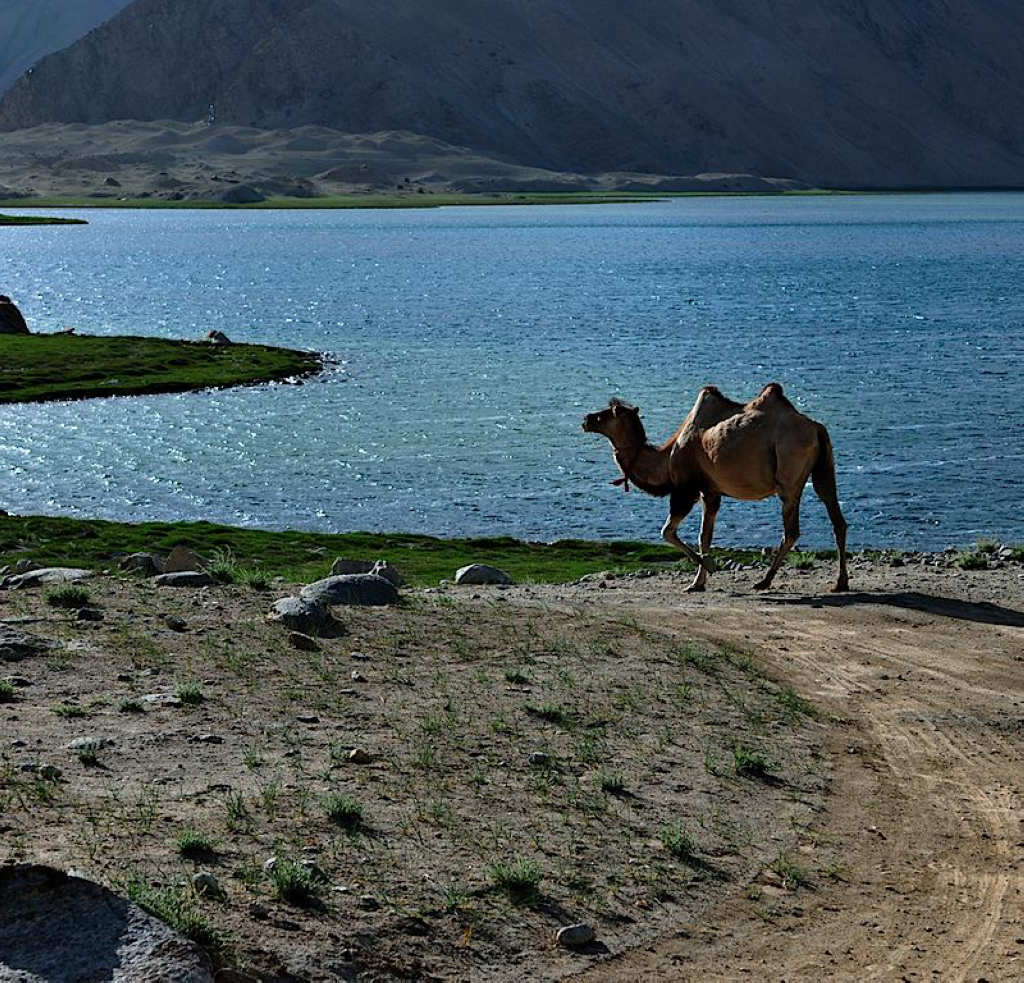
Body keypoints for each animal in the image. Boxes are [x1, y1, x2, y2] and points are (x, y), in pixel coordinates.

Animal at [581, 385, 851, 593]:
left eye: (612, 412)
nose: (586, 419)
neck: (666, 458)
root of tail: (817, 428)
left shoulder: (686, 489)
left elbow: (667, 531)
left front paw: (708, 568)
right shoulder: (710, 492)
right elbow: (705, 536)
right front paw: (697, 583)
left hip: (789, 471)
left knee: (792, 530)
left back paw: (764, 581)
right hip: (824, 469)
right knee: (836, 517)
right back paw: (840, 582)